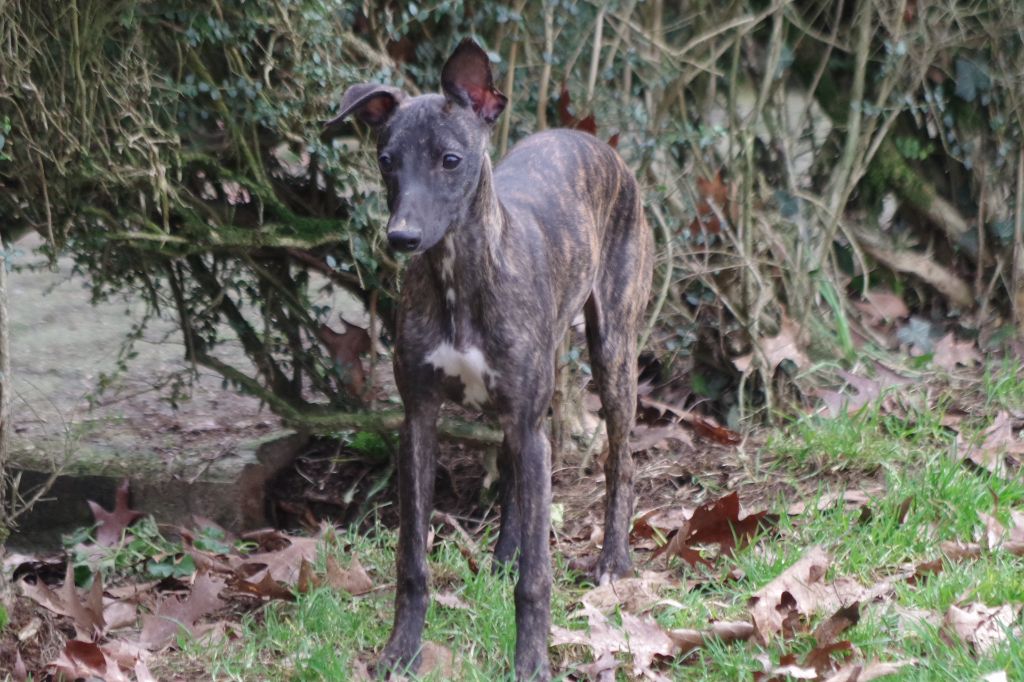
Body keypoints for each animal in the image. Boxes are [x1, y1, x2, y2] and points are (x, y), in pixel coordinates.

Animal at [331, 39, 651, 675]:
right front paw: (401, 650)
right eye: (386, 159)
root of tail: (592, 141)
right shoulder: (419, 420)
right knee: (515, 474)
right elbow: (412, 560)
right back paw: (504, 554)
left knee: (621, 460)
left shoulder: (530, 423)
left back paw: (613, 561)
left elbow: (537, 578)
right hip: (526, 398)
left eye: (450, 160)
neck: (459, 275)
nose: (401, 237)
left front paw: (531, 662)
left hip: (613, 349)